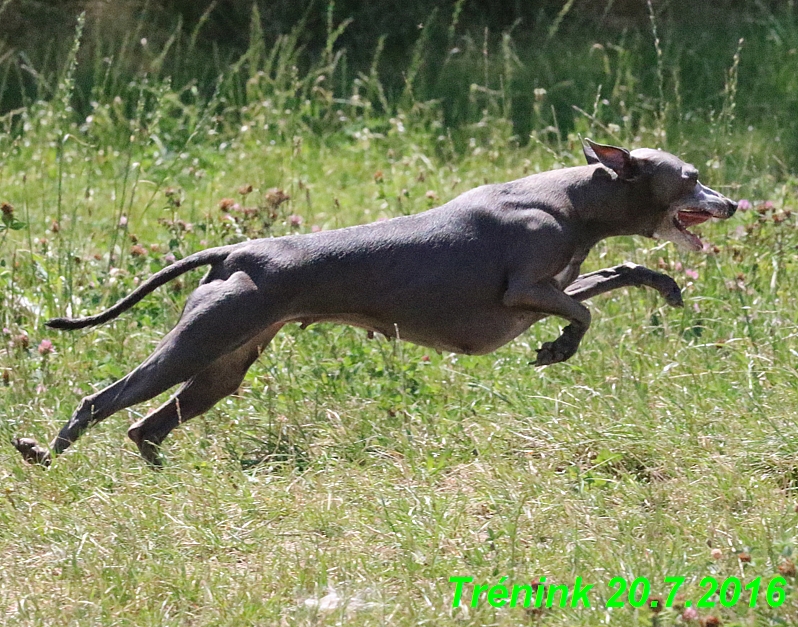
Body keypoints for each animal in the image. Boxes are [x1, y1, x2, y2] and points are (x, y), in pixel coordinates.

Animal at [12, 142, 736, 466]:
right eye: (692, 176)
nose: (732, 203)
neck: (571, 198)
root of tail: (235, 251)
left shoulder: (544, 291)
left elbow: (615, 274)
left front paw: (665, 287)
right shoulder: (524, 293)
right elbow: (585, 310)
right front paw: (558, 349)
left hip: (225, 364)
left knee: (145, 427)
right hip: (197, 344)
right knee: (101, 400)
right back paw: (42, 454)